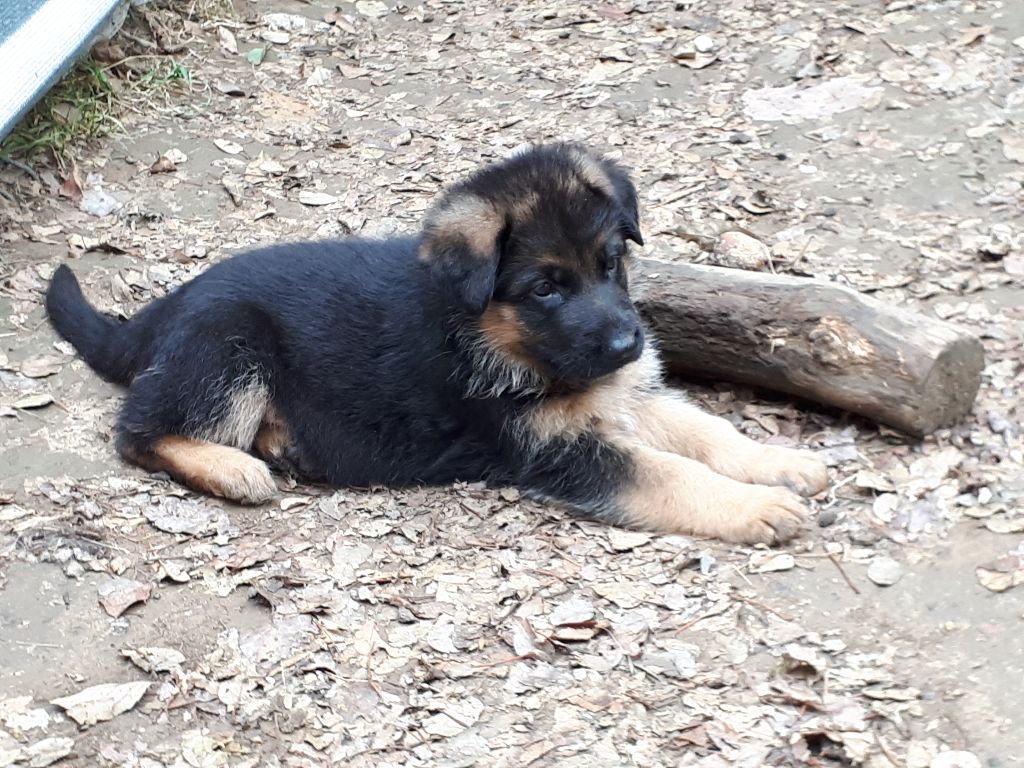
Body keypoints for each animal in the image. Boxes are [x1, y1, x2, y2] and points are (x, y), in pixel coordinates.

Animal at [49, 143, 831, 540]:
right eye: (545, 289)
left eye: (611, 263)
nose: (625, 347)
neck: (493, 334)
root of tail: (165, 308)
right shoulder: (554, 448)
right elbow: (665, 473)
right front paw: (754, 507)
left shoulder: (622, 398)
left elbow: (705, 431)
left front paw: (780, 464)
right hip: (229, 346)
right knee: (139, 429)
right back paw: (234, 468)